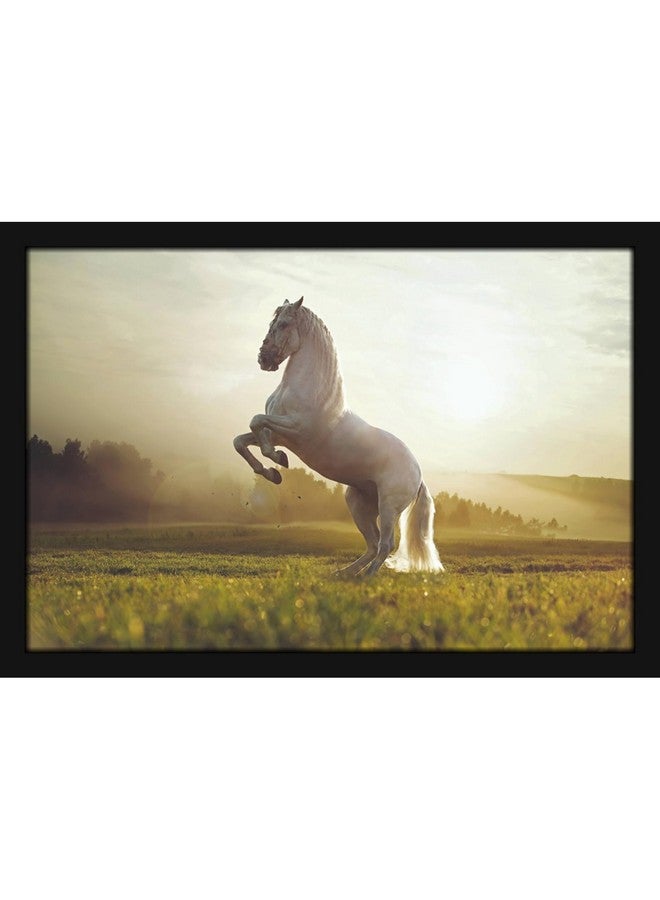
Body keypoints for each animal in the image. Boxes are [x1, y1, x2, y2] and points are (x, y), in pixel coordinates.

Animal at [233, 297, 444, 576]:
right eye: (272, 322)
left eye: (284, 323)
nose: (264, 359)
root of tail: (418, 473)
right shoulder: (279, 434)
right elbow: (242, 440)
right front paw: (272, 471)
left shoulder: (296, 429)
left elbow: (256, 422)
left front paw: (277, 461)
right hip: (358, 503)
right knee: (372, 544)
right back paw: (344, 574)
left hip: (388, 507)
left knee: (385, 544)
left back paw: (366, 578)